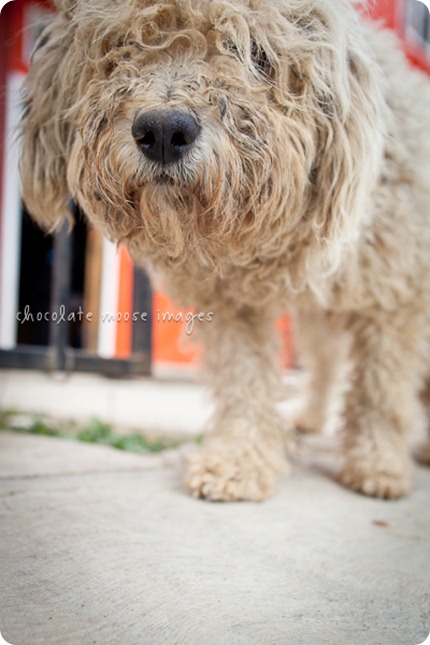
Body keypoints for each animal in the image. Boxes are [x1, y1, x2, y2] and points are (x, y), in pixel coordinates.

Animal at [20, 0, 430, 500]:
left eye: (253, 51)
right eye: (125, 44)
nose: (162, 130)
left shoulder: (395, 293)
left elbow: (381, 388)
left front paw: (378, 464)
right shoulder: (233, 303)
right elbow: (243, 381)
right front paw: (238, 461)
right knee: (323, 360)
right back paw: (309, 417)